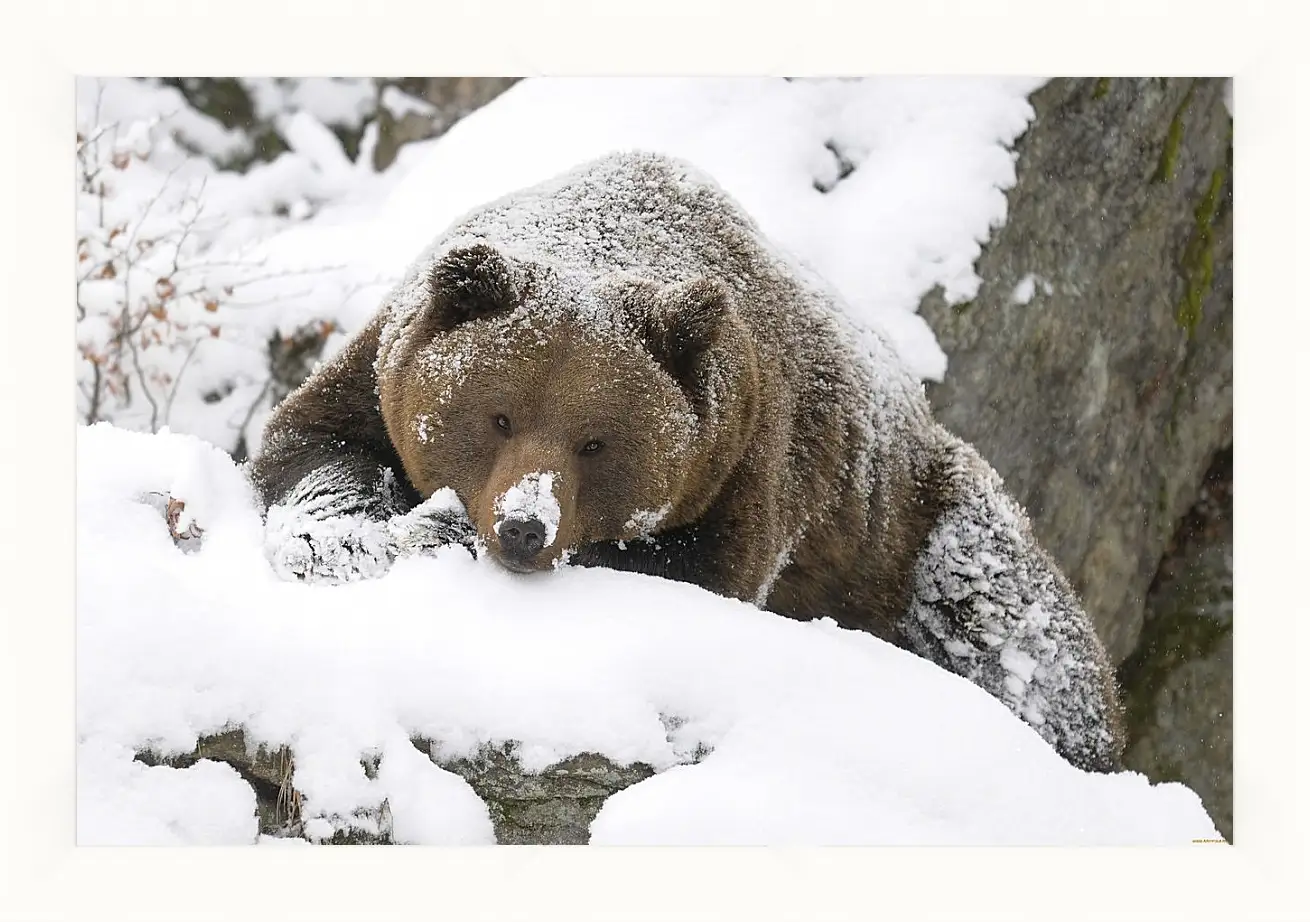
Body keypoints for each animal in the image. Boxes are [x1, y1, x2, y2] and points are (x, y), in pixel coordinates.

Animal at [252, 149, 1126, 770]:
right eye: (498, 415)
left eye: (595, 441)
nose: (524, 527)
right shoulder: (380, 369)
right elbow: (313, 443)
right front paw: (343, 538)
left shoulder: (749, 461)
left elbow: (691, 568)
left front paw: (439, 531)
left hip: (915, 529)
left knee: (1017, 632)